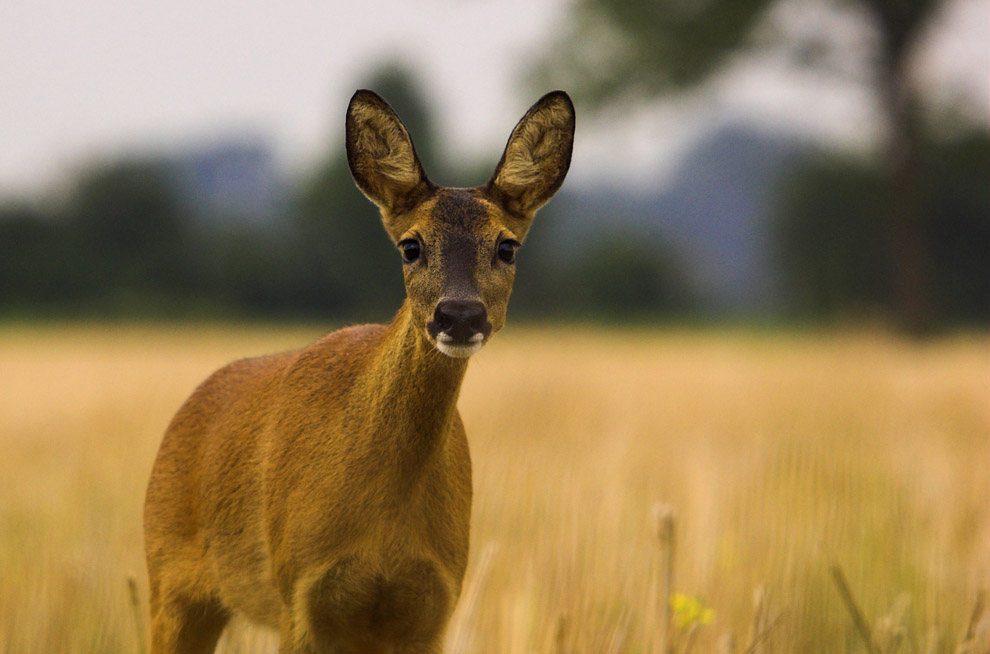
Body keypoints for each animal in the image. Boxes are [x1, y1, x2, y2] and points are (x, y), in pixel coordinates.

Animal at [140, 88, 572, 654]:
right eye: (411, 245)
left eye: (507, 246)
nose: (459, 314)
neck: (385, 521)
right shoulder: (300, 595)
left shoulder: (434, 603)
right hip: (167, 580)